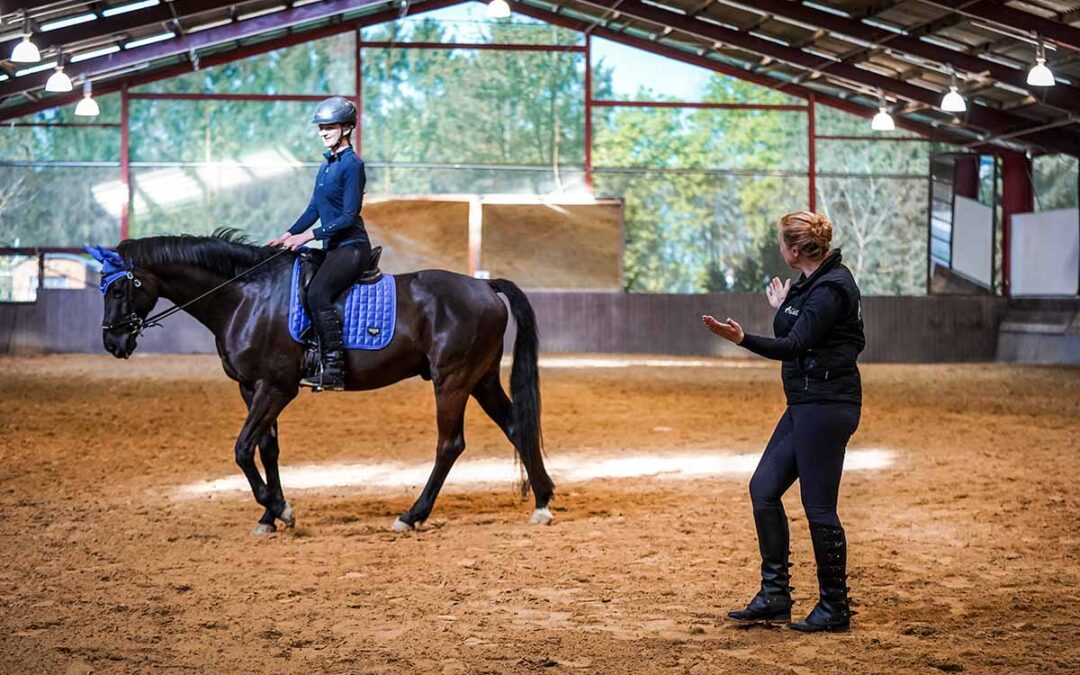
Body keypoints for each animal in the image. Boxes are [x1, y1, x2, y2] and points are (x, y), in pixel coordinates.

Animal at [93, 228, 557, 533]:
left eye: (117, 290)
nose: (114, 342)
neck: (246, 297)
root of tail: (485, 288)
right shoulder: (252, 387)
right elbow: (267, 449)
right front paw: (269, 517)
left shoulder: (276, 388)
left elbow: (242, 449)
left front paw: (280, 509)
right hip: (480, 379)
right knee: (515, 426)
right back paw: (542, 501)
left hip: (453, 381)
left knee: (450, 444)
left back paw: (412, 515)